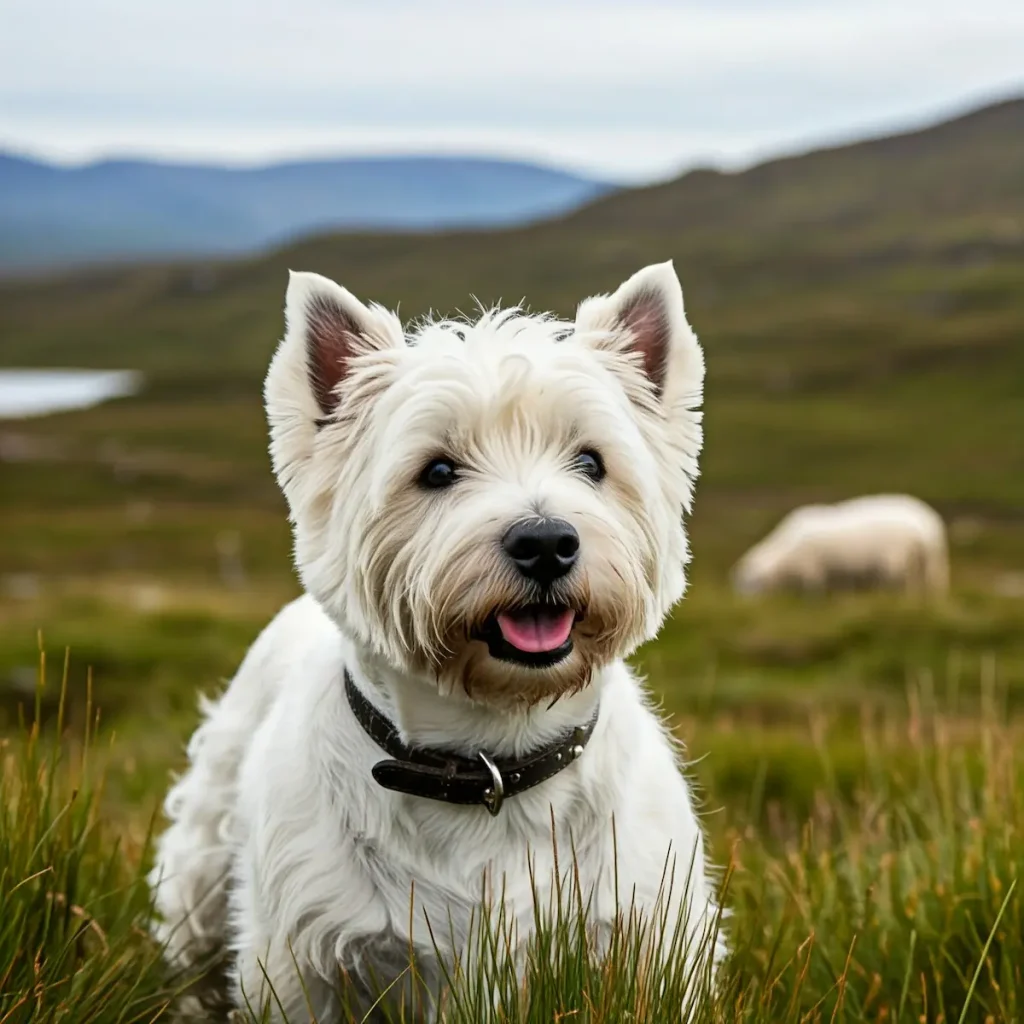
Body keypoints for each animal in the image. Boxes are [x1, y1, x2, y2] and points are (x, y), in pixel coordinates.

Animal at [148, 262, 724, 1015]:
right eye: (439, 471)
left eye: (592, 462)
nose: (546, 543)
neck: (491, 762)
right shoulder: (303, 961)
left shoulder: (651, 935)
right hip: (206, 859)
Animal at [733, 493, 946, 598]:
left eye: (751, 581)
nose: (743, 603)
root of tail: (927, 527)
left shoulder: (811, 569)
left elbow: (814, 590)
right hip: (927, 565)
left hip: (896, 559)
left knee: (899, 584)